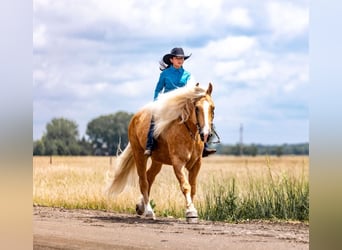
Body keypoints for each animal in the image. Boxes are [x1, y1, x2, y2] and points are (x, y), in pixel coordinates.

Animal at [107, 83, 214, 222]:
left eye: (212, 107)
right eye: (196, 108)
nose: (205, 134)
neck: (189, 133)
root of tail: (135, 117)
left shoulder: (196, 164)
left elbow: (193, 188)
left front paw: (192, 210)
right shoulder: (178, 163)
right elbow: (185, 186)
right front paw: (190, 211)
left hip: (157, 161)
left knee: (149, 178)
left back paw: (140, 207)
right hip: (139, 155)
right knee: (143, 182)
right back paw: (148, 211)